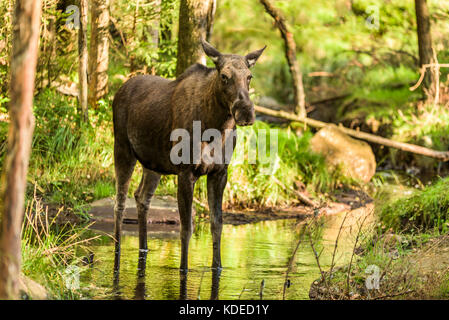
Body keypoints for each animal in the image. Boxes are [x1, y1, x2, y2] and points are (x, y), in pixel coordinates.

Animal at [113, 38, 266, 274]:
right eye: (224, 76)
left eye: (249, 76)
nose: (245, 112)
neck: (215, 126)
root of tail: (119, 90)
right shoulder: (186, 172)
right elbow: (187, 228)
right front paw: (183, 268)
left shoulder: (220, 172)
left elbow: (217, 223)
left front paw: (217, 267)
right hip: (122, 149)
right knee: (120, 203)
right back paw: (117, 253)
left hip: (153, 164)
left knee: (141, 196)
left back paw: (144, 247)